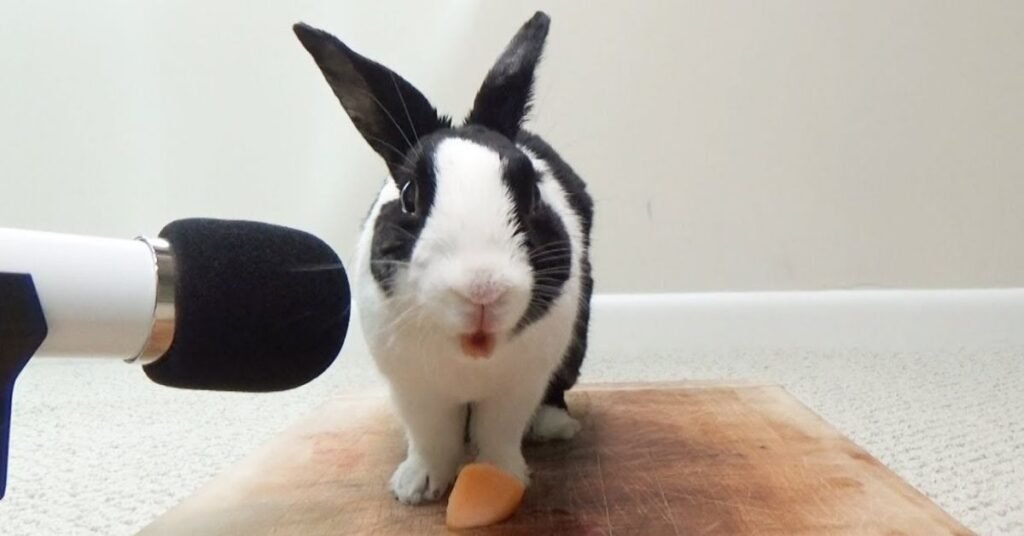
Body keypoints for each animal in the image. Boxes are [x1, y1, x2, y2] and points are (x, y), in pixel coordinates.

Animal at [293, 11, 594, 505]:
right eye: (409, 196)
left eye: (532, 193)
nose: (483, 290)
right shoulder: (416, 391)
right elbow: (432, 438)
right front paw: (416, 489)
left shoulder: (518, 386)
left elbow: (498, 435)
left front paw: (500, 481)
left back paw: (555, 426)